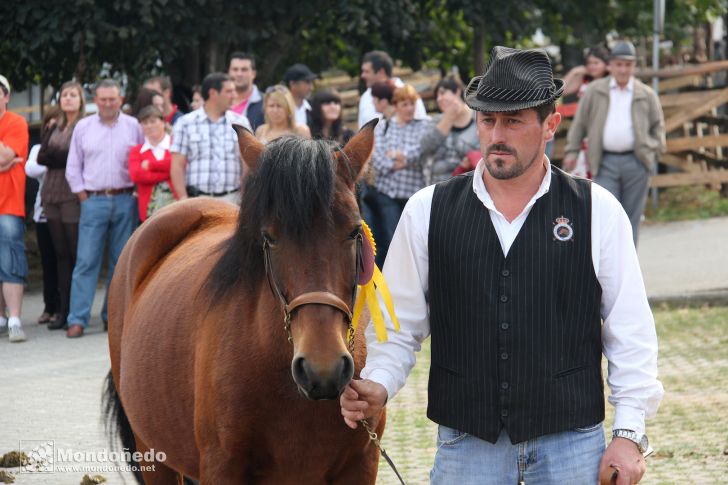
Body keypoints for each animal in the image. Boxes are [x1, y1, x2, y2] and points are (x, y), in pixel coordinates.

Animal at [104, 119, 386, 482]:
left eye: (353, 231)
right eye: (269, 237)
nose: (322, 369)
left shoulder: (361, 465)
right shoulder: (221, 467)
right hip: (153, 454)